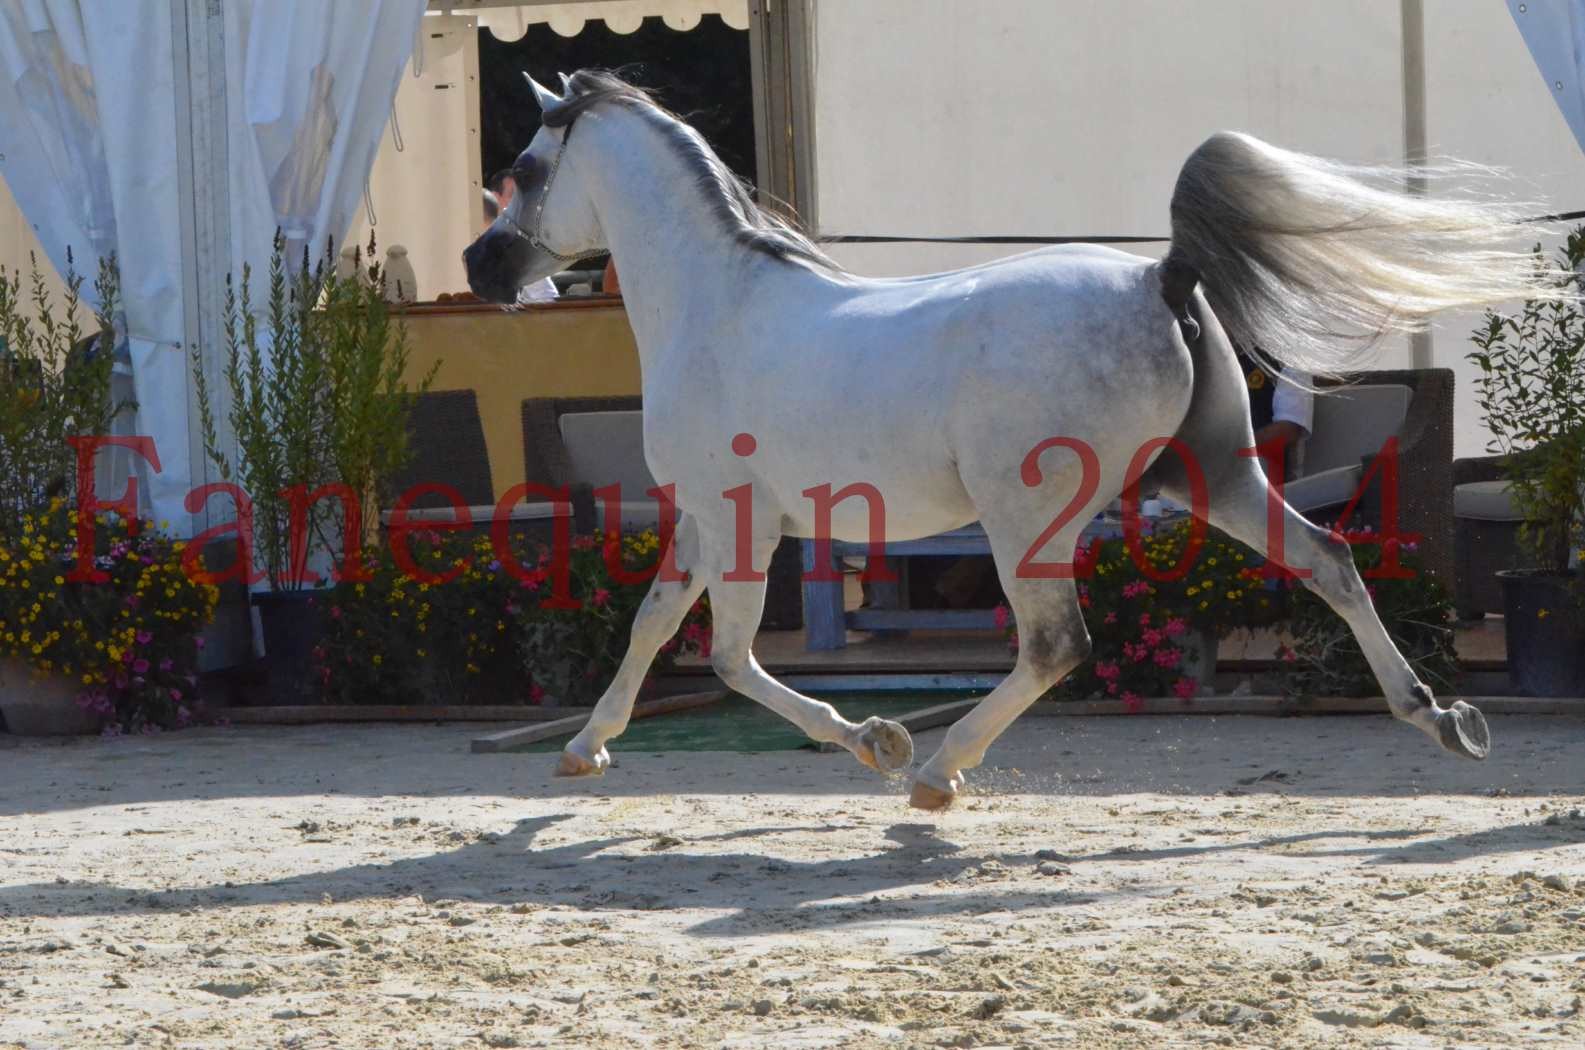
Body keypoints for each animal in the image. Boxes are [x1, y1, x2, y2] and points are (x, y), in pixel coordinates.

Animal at [462, 69, 1553, 808]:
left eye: (523, 169)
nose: (478, 265)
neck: (716, 305)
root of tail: (1160, 276)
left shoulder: (735, 520)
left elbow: (720, 655)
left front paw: (878, 742)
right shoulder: (714, 519)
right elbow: (664, 630)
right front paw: (587, 747)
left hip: (1025, 516)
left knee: (1056, 642)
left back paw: (939, 772)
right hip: (1215, 478)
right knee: (1328, 560)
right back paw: (1439, 718)